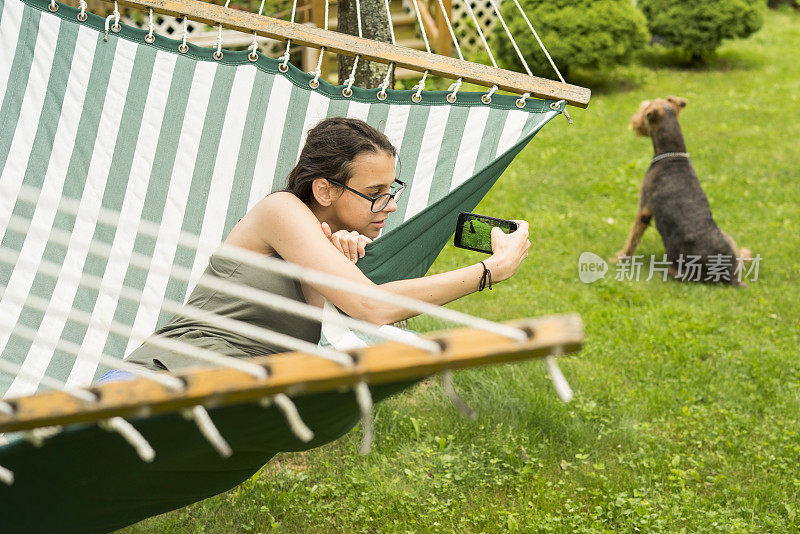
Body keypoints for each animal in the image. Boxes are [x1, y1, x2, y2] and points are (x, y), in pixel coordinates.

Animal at [616, 97, 752, 288]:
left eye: (645, 110)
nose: (634, 120)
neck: (673, 155)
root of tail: (729, 276)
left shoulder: (644, 208)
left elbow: (632, 238)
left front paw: (619, 258)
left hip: (676, 270)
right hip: (729, 240)